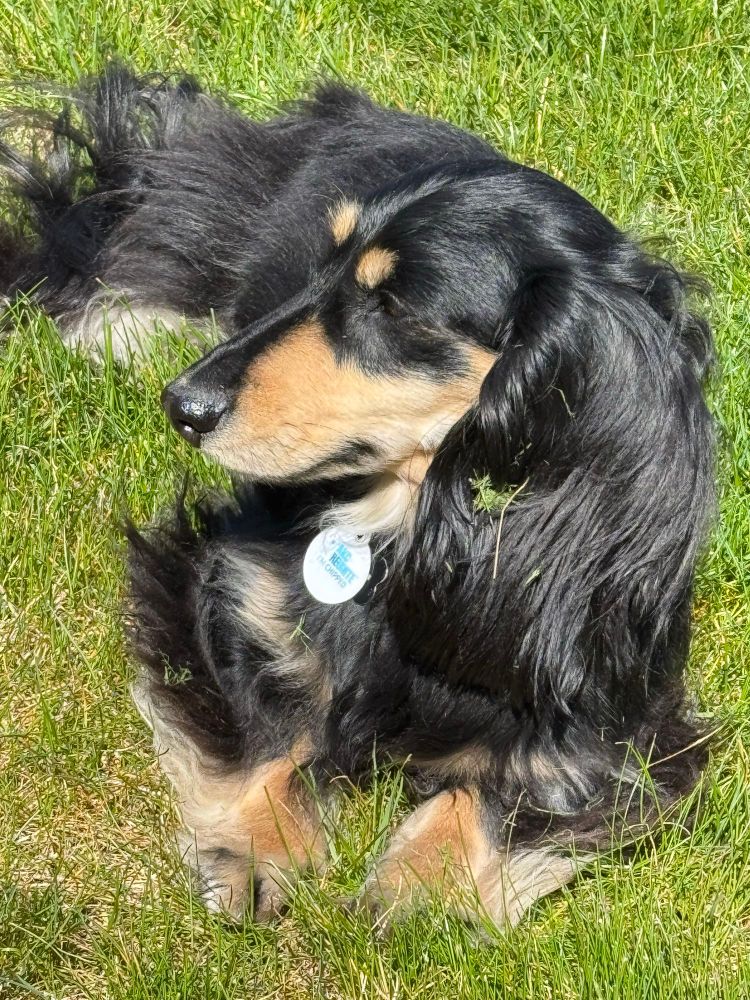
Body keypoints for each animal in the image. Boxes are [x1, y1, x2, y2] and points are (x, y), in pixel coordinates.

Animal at [1, 65, 716, 928]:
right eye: (323, 268)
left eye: (394, 305)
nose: (184, 405)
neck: (418, 519)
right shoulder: (227, 584)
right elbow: (277, 723)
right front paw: (256, 847)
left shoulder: (617, 707)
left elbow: (510, 786)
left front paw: (426, 890)